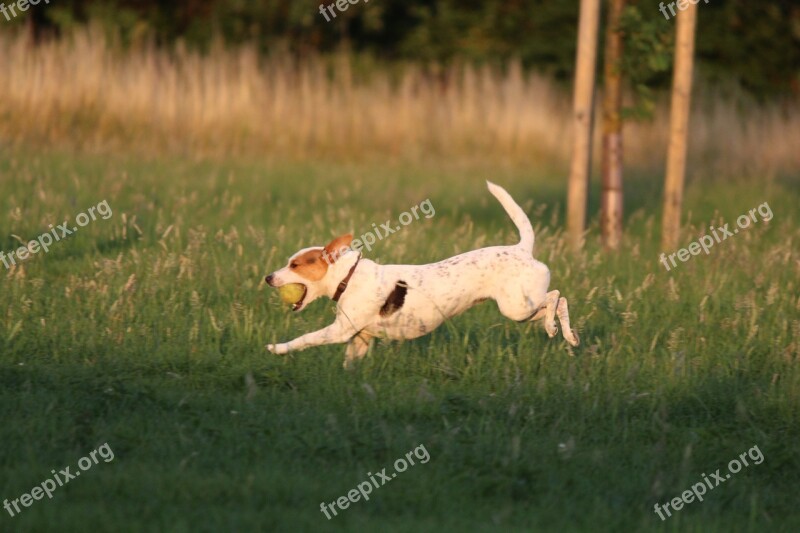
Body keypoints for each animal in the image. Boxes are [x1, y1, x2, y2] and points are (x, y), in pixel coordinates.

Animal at [266, 182, 580, 366]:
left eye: (295, 265)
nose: (268, 277)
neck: (349, 276)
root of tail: (522, 248)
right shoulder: (360, 338)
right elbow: (349, 363)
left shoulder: (339, 331)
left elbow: (305, 339)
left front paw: (277, 348)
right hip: (522, 311)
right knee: (557, 303)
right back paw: (566, 334)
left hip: (517, 307)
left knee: (555, 296)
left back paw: (554, 327)